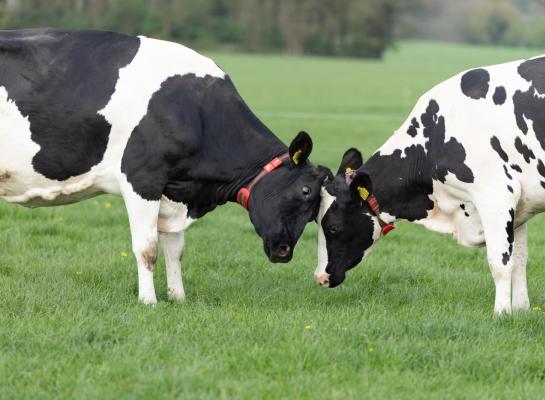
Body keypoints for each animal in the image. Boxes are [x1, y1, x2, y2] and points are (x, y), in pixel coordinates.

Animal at [0, 28, 326, 304]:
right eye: (305, 191)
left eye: (316, 212)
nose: (284, 251)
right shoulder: (142, 179)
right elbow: (148, 249)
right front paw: (149, 301)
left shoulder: (175, 191)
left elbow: (175, 251)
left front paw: (177, 297)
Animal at [312, 54, 544, 314]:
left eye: (333, 227)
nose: (320, 277)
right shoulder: (519, 204)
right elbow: (519, 260)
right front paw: (521, 310)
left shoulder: (496, 195)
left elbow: (500, 263)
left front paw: (501, 313)